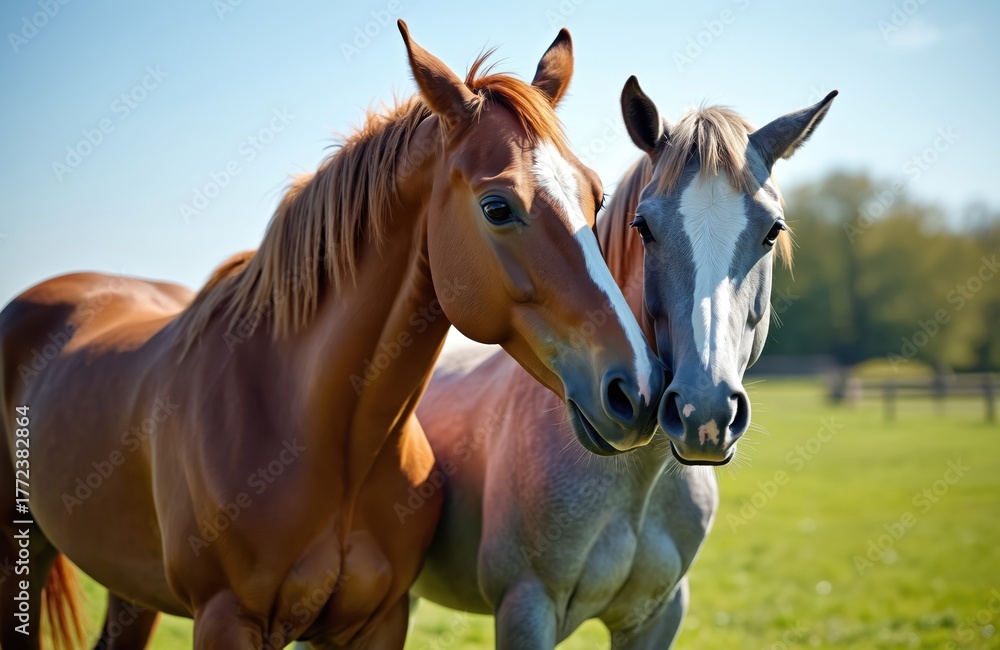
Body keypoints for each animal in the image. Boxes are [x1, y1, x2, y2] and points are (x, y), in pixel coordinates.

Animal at [0, 24, 665, 649]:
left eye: (597, 196)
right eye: (498, 207)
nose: (637, 390)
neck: (323, 436)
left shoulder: (378, 622)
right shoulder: (225, 620)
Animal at [410, 78, 838, 648]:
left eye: (772, 230)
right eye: (644, 227)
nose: (705, 413)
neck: (636, 483)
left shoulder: (656, 617)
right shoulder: (526, 608)